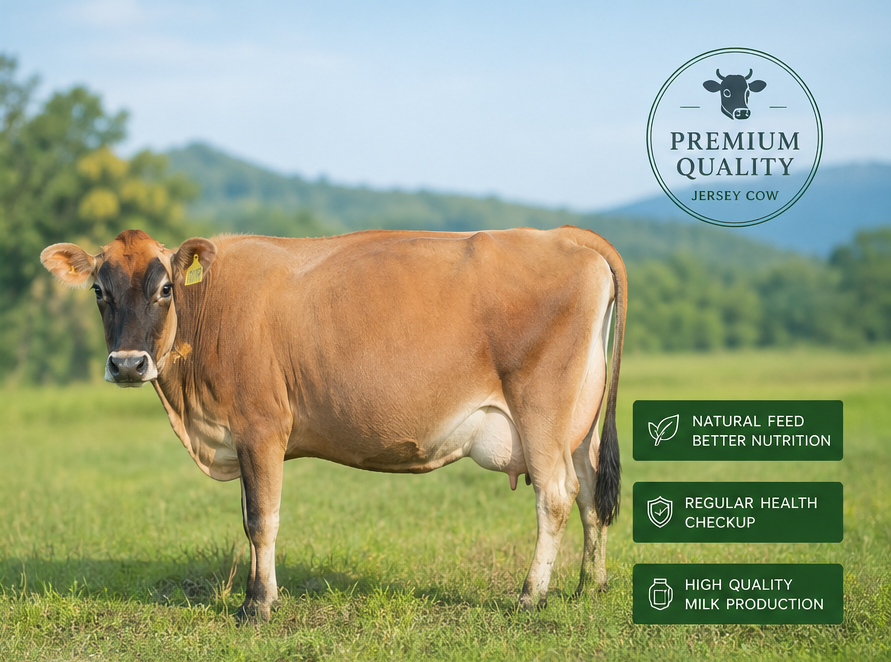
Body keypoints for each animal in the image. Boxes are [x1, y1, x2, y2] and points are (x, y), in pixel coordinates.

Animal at [40, 225, 626, 621]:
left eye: (165, 289)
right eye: (99, 291)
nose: (127, 364)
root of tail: (560, 235)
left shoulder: (260, 427)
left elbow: (262, 520)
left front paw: (259, 605)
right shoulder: (243, 436)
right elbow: (250, 520)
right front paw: (257, 596)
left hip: (541, 410)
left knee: (555, 495)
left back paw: (531, 596)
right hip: (579, 423)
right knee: (591, 490)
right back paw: (589, 586)